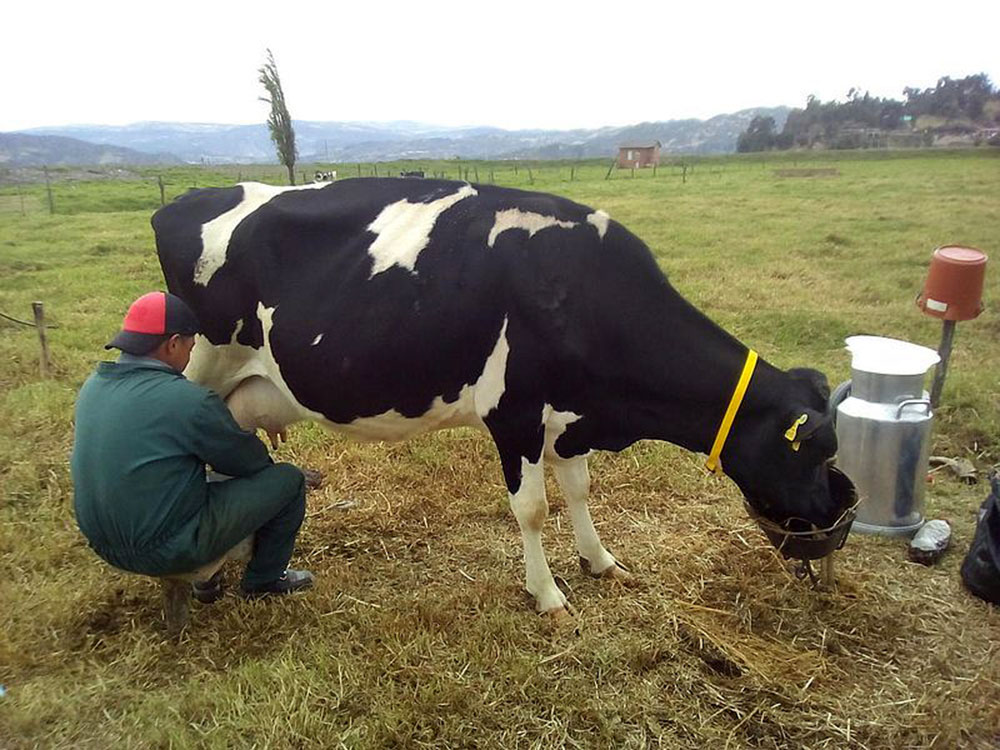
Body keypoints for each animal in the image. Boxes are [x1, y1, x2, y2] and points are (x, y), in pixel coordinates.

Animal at [151, 178, 842, 617]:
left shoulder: (571, 415)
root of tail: (187, 199)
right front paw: (548, 596)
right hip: (201, 364)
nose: (833, 519)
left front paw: (600, 562)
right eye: (814, 453)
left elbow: (580, 490)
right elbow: (533, 509)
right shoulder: (513, 412)